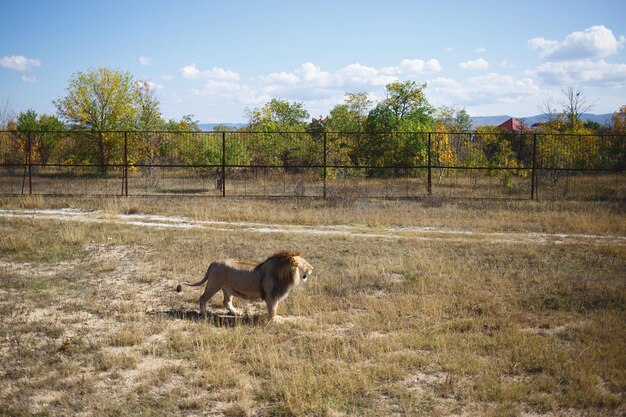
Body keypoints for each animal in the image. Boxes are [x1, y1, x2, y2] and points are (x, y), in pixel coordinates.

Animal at [176, 250, 312, 322]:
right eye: (305, 263)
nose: (312, 268)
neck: (285, 275)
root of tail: (214, 262)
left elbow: (275, 308)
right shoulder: (271, 296)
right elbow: (273, 309)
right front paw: (275, 320)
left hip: (227, 288)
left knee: (226, 302)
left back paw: (236, 313)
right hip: (213, 285)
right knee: (203, 298)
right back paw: (204, 314)